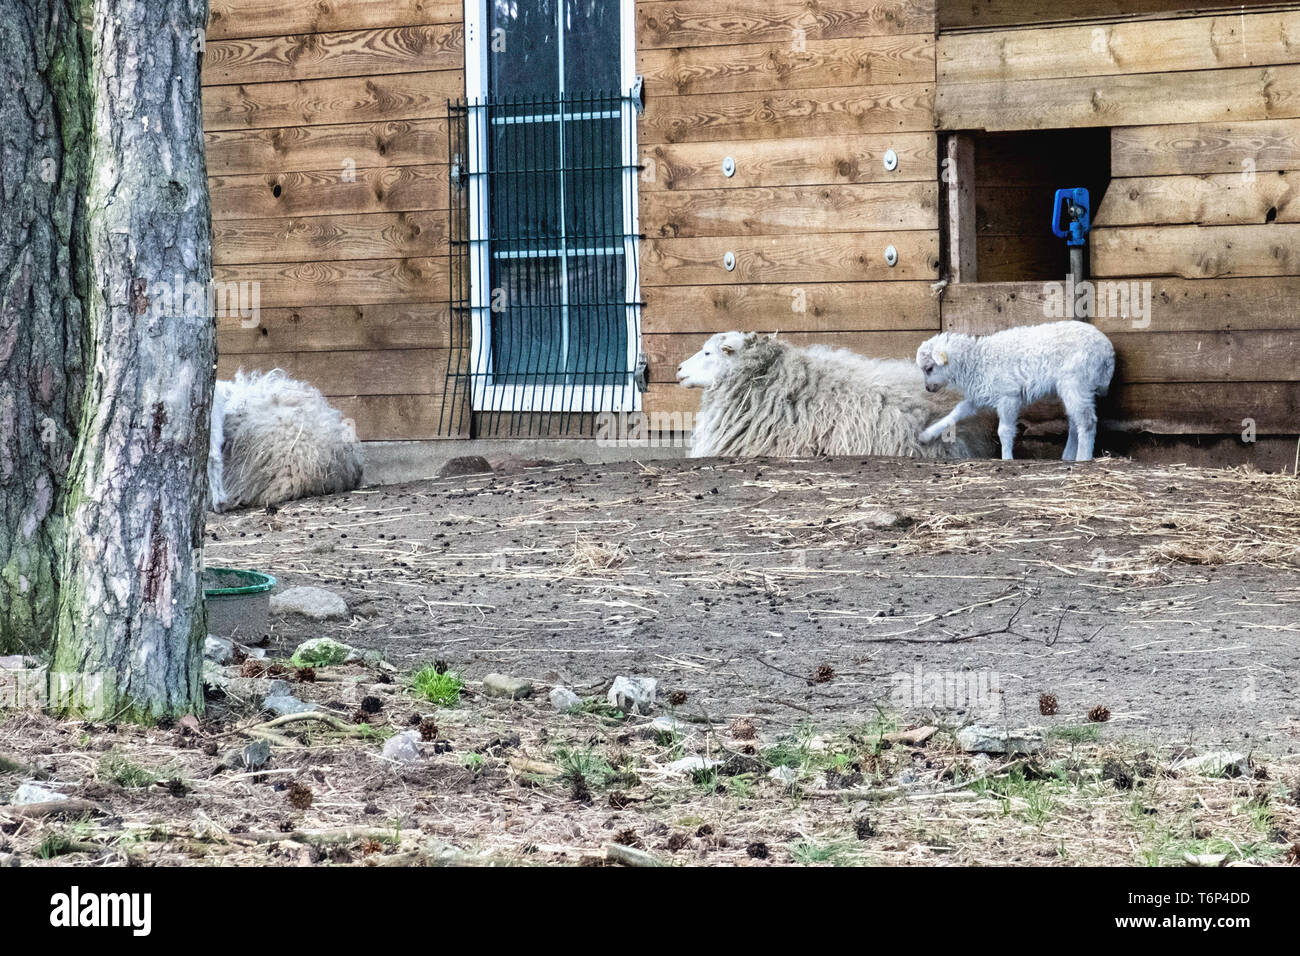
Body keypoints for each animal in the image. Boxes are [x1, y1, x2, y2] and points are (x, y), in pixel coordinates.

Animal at [915, 319, 1118, 463]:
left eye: (929, 368)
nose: (928, 389)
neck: (976, 361)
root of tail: (1108, 351)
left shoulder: (1008, 396)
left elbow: (1004, 430)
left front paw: (1006, 458)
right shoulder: (981, 394)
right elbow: (955, 413)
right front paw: (926, 435)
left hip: (1076, 381)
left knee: (1087, 421)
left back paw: (1083, 458)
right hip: (1077, 387)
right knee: (1076, 421)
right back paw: (1069, 456)